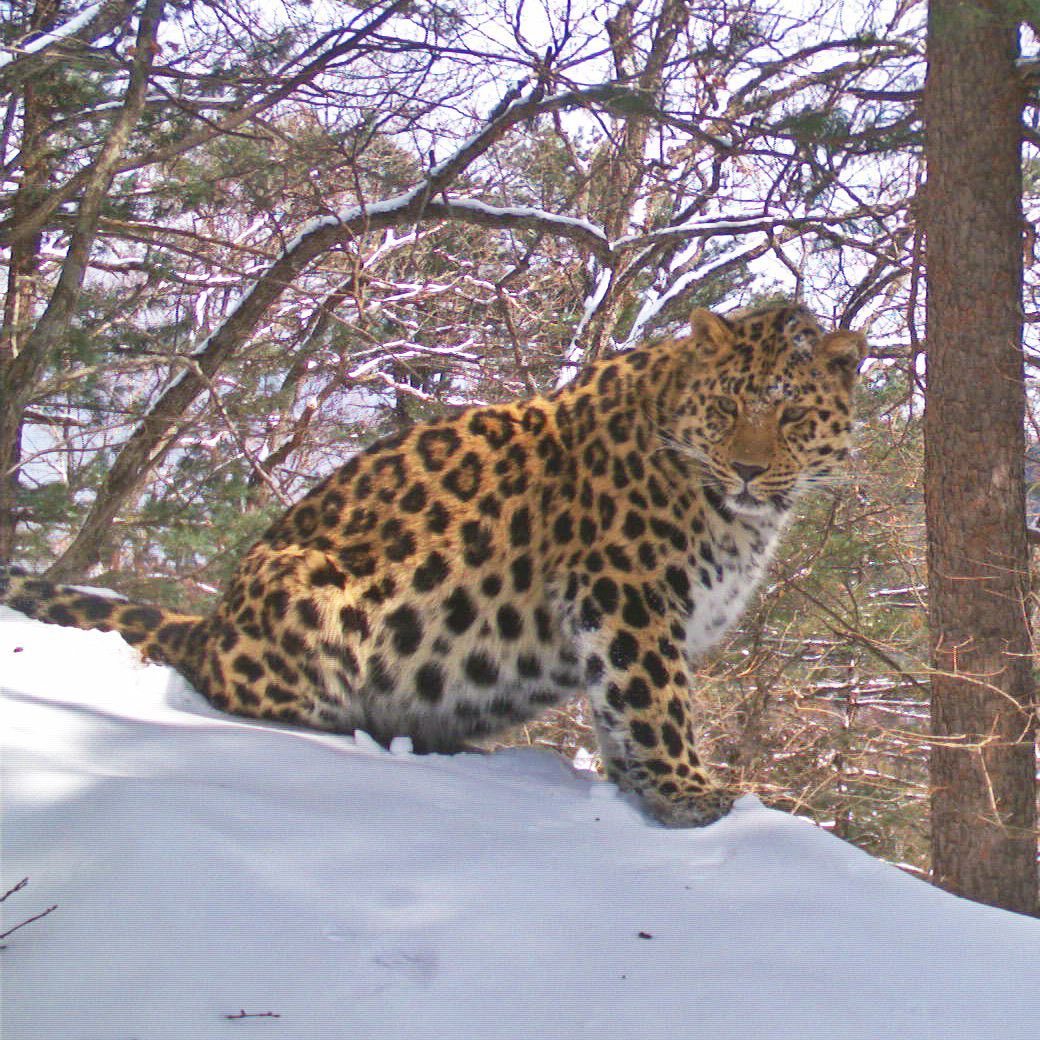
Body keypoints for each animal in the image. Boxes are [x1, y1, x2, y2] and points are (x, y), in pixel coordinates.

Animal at [2, 301, 861, 827]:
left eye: (791, 414)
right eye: (726, 409)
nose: (747, 470)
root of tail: (209, 624)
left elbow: (618, 712)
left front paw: (638, 787)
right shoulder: (630, 595)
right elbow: (654, 702)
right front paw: (690, 797)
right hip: (312, 589)